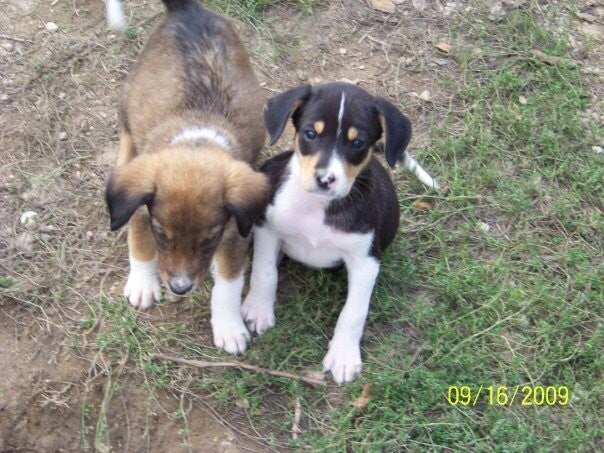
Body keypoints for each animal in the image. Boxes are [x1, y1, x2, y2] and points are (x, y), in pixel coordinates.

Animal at [104, 0, 269, 355]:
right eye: (161, 236)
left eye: (209, 241)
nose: (179, 288)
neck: (196, 140)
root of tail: (186, 8)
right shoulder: (140, 209)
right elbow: (140, 246)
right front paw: (142, 285)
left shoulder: (235, 233)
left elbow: (229, 285)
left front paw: (229, 328)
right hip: (128, 99)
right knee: (126, 134)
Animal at [241, 82, 439, 383]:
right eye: (310, 133)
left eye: (357, 143)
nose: (325, 179)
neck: (318, 208)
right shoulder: (268, 229)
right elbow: (264, 273)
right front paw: (258, 310)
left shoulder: (366, 261)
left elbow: (354, 311)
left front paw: (344, 355)